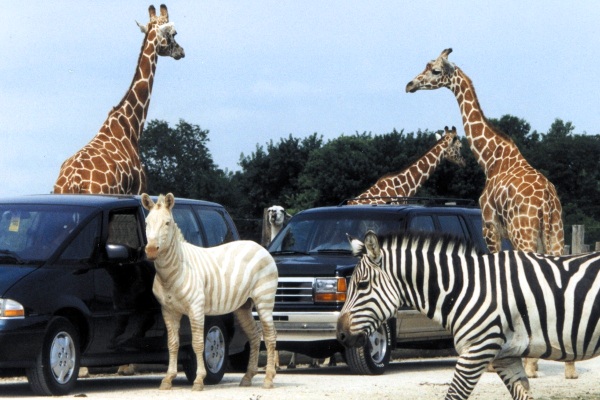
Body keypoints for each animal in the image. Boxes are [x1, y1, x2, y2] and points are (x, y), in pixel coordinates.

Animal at [141, 193, 278, 391]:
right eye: (147, 223)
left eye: (167, 223)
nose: (151, 250)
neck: (173, 272)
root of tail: (259, 247)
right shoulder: (168, 311)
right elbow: (172, 344)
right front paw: (168, 379)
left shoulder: (196, 309)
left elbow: (198, 344)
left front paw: (199, 380)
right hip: (243, 305)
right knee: (254, 334)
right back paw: (248, 376)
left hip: (264, 299)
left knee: (269, 335)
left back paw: (268, 378)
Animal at [337, 230, 600, 400]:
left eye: (362, 285)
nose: (340, 335)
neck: (466, 288)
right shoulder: (506, 357)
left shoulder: (477, 351)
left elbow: (453, 395)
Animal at [405, 48, 574, 379]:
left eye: (434, 70)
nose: (410, 85)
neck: (492, 158)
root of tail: (548, 200)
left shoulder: (490, 227)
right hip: (555, 232)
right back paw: (570, 367)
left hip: (525, 232)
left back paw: (532, 365)